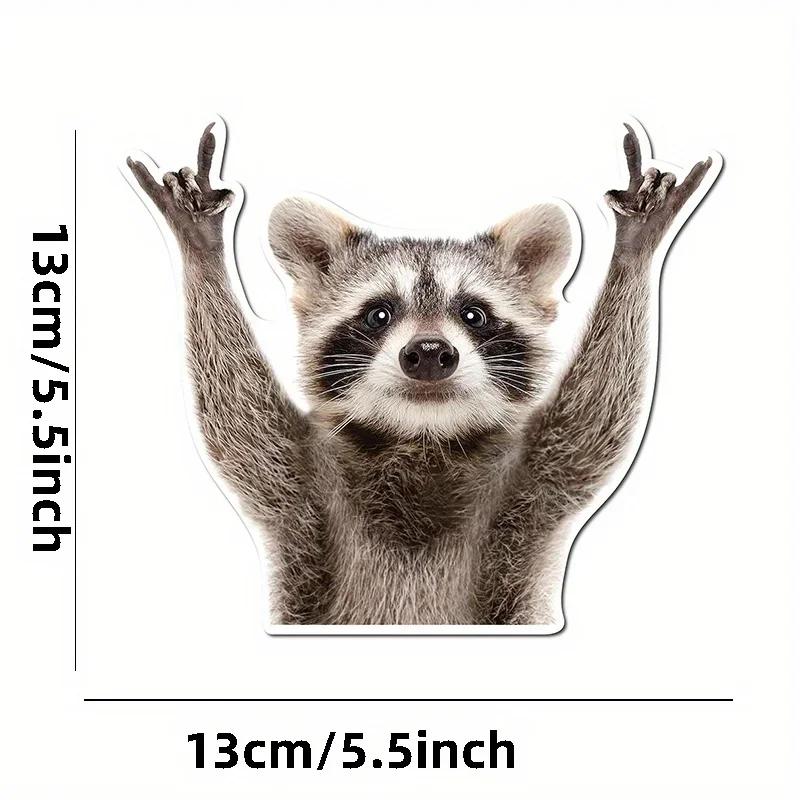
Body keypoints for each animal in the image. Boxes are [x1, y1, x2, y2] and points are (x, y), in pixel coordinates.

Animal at [127, 121, 717, 626]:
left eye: (473, 314)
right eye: (379, 314)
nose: (430, 353)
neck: (422, 437)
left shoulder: (533, 486)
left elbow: (596, 418)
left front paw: (634, 250)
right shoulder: (300, 486)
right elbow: (237, 417)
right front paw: (201, 249)